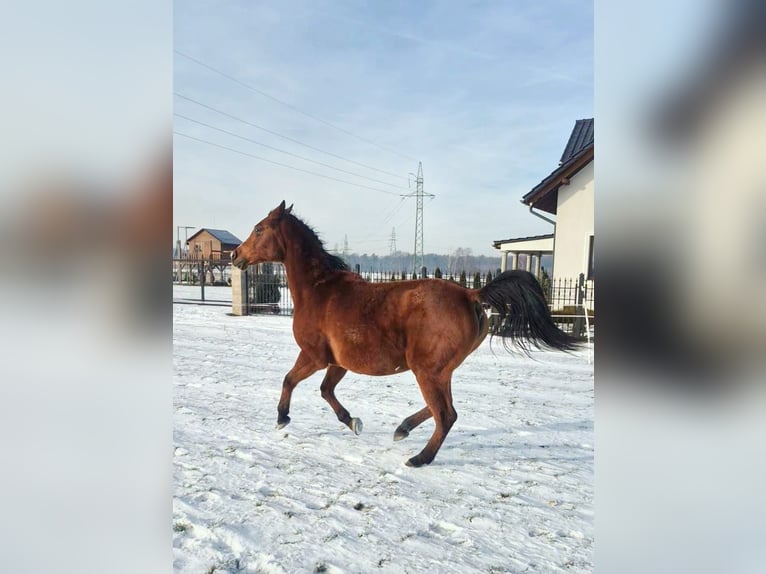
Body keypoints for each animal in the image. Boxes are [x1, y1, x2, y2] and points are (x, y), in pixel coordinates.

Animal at [231, 201, 578, 467]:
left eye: (259, 228)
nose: (235, 256)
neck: (319, 290)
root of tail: (471, 294)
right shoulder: (338, 362)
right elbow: (326, 391)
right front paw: (353, 422)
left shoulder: (314, 356)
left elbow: (289, 380)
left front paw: (282, 418)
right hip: (438, 370)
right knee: (442, 410)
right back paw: (403, 429)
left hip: (427, 370)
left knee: (446, 415)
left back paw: (419, 458)